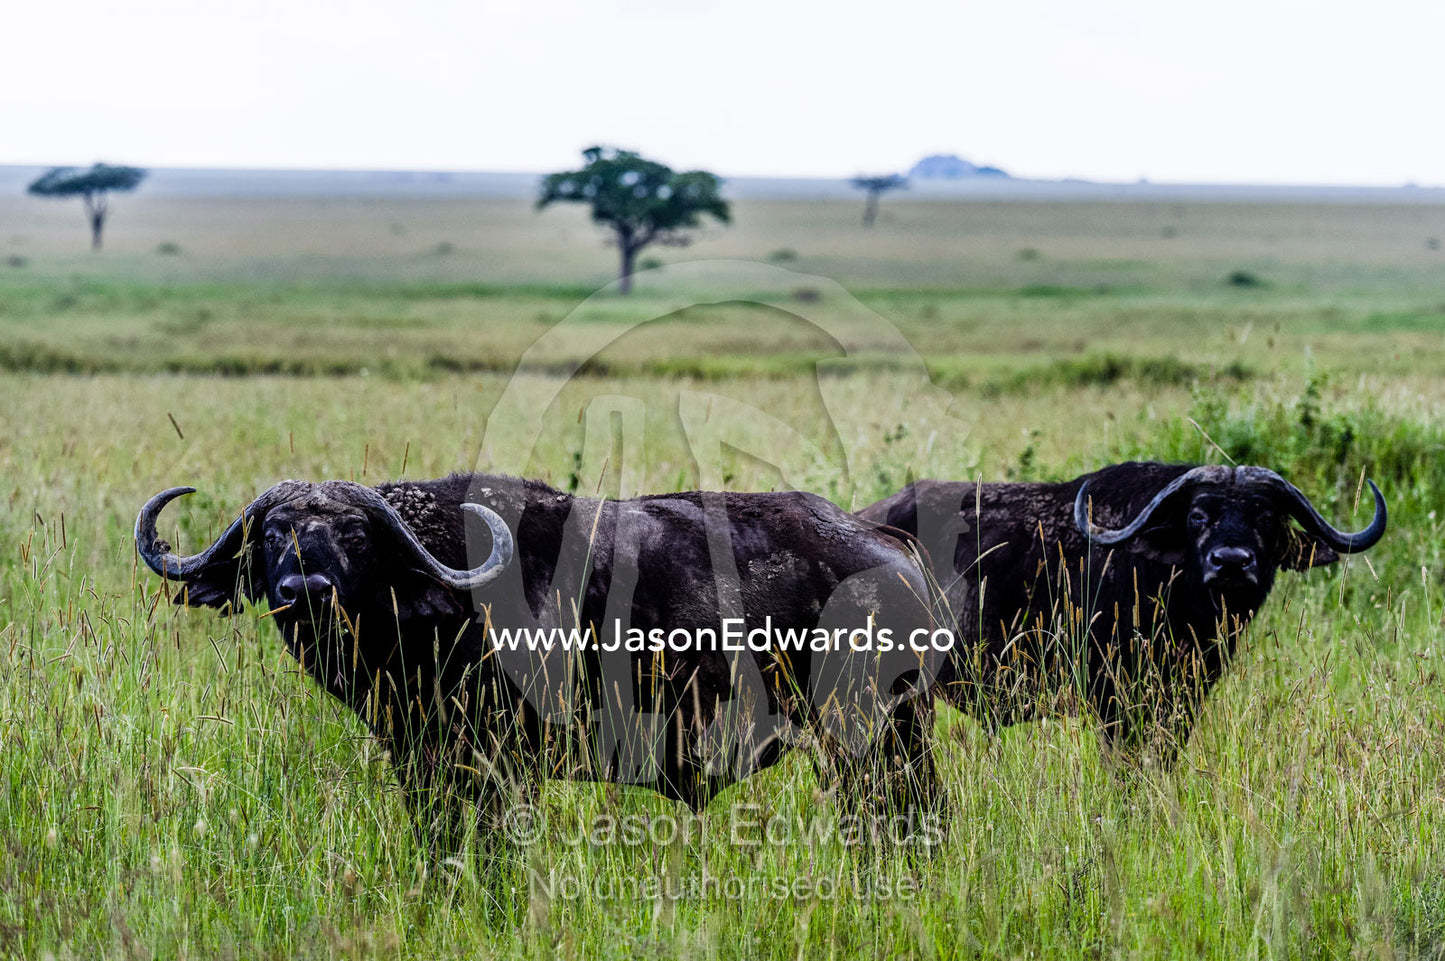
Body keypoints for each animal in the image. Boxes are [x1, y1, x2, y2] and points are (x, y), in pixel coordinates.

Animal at [137, 474, 942, 853]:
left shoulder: (499, 765)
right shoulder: (421, 760)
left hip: (881, 738)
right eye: (273, 534)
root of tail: (890, 548)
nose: (304, 590)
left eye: (357, 537)